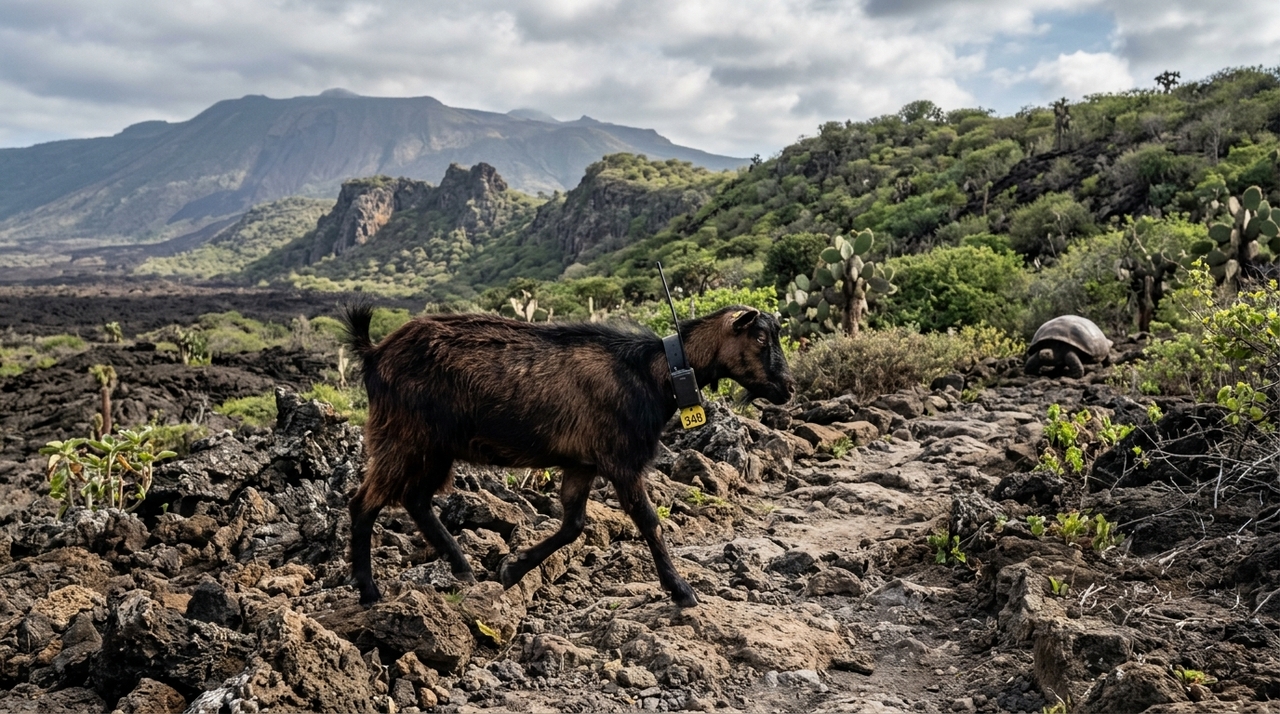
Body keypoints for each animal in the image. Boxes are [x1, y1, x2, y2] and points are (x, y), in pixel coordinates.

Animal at [341, 304, 795, 607]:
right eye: (759, 338)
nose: (788, 388)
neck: (653, 372)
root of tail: (374, 352)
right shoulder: (620, 460)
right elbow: (649, 521)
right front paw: (681, 591)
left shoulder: (582, 463)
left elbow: (574, 525)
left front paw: (513, 568)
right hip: (402, 436)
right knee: (364, 503)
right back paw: (369, 592)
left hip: (433, 447)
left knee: (415, 499)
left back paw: (463, 568)